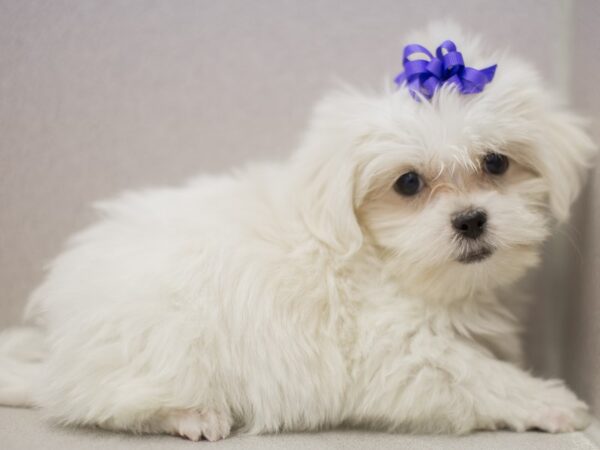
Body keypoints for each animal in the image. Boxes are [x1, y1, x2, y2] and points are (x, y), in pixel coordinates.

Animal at [0, 23, 596, 440]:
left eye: (496, 163)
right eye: (408, 182)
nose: (470, 219)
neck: (380, 260)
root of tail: (59, 346)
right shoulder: (399, 354)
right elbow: (478, 376)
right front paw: (551, 401)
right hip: (163, 344)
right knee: (105, 403)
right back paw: (193, 415)